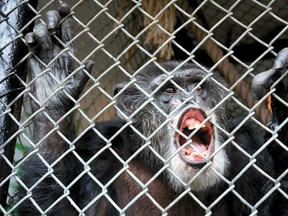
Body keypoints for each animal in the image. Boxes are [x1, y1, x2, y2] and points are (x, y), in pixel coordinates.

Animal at [14, 3, 288, 216]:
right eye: (169, 91)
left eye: (199, 87)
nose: (189, 98)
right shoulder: (96, 147)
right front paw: (52, 84)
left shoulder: (246, 142)